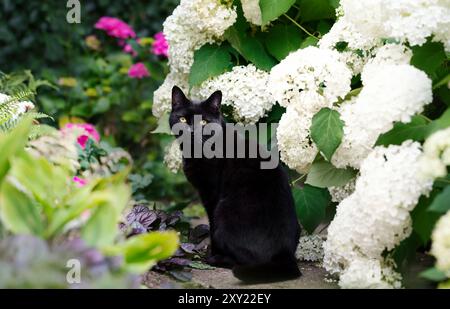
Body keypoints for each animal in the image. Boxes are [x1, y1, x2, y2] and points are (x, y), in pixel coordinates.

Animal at [168, 86, 298, 282]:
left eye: (204, 122)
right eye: (183, 119)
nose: (192, 132)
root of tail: (285, 255)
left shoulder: (211, 195)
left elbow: (212, 226)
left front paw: (213, 253)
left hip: (224, 209)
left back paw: (215, 259)